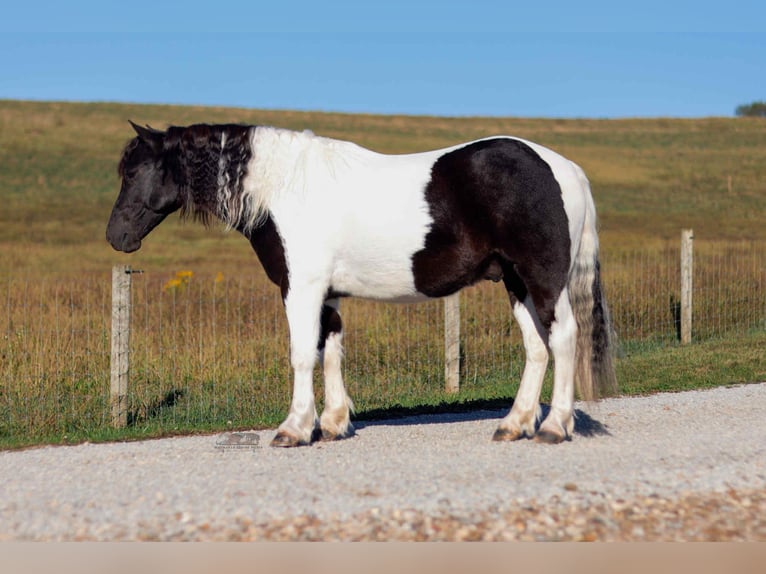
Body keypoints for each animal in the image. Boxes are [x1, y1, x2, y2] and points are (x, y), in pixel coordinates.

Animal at [106, 121, 617, 447]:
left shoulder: (301, 288)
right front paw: (333, 424)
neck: (286, 189)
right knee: (537, 348)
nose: (117, 237)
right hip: (515, 282)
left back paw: (554, 427)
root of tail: (565, 168)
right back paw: (515, 424)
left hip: (541, 279)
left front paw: (294, 429)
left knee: (564, 339)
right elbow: (331, 350)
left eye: (135, 172)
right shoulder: (327, 294)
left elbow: (301, 354)